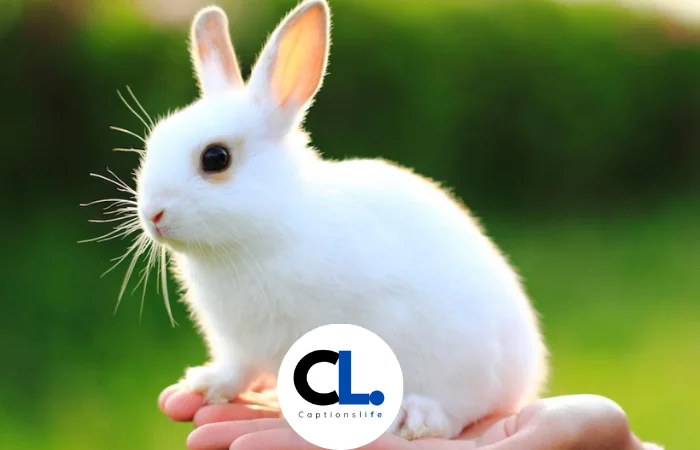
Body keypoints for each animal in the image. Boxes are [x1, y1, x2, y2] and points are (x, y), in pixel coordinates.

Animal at [132, 0, 548, 440]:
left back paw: (418, 418)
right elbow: (237, 371)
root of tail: (527, 372)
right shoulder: (238, 345)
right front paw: (204, 384)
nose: (152, 214)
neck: (271, 225)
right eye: (155, 140)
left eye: (215, 158)